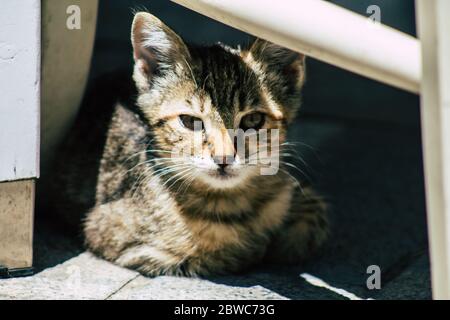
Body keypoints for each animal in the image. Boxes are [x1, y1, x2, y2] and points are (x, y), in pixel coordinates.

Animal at [52, 12, 328, 276]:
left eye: (253, 120)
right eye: (190, 121)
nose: (224, 158)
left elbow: (313, 220)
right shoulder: (115, 237)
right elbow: (222, 253)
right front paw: (255, 247)